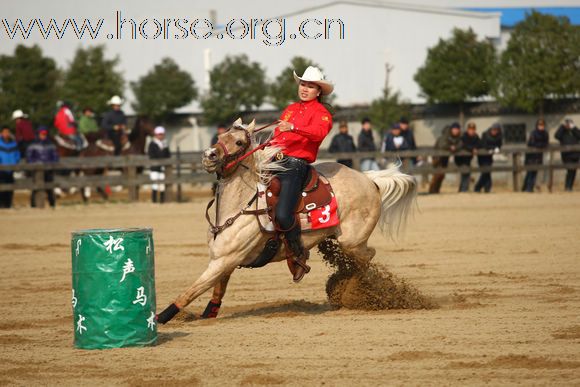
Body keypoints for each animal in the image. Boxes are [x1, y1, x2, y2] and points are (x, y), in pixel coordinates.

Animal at [156, 119, 414, 324]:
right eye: (220, 137)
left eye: (239, 143)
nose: (209, 155)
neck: (240, 206)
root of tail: (369, 180)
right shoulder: (223, 260)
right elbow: (218, 289)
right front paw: (208, 314)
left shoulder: (224, 260)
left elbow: (191, 291)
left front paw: (159, 318)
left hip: (352, 242)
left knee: (366, 257)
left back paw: (351, 287)